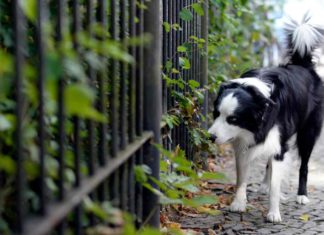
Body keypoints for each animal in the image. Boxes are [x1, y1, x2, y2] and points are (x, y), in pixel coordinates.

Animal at [208, 15, 324, 223]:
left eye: (233, 119)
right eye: (216, 114)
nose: (210, 137)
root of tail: (304, 65)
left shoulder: (278, 144)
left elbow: (276, 185)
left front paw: (273, 213)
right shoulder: (243, 142)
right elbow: (241, 177)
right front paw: (238, 203)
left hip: (308, 133)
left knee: (303, 165)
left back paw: (302, 195)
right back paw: (264, 184)